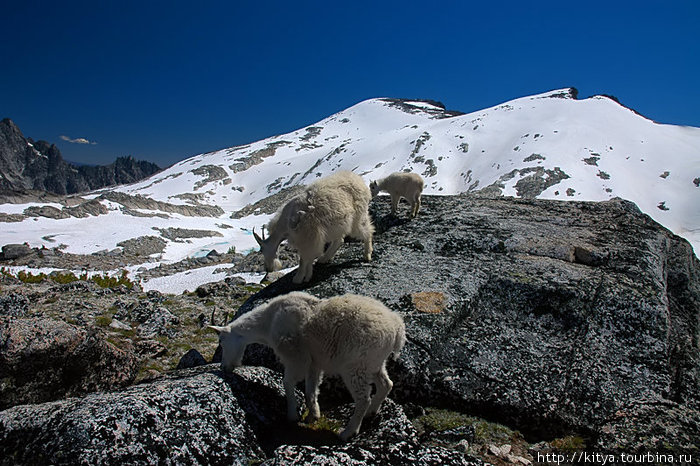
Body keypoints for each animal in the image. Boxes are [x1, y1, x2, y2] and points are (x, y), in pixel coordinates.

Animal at [209, 292, 404, 440]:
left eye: (222, 341)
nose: (224, 367)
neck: (268, 322)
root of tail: (397, 329)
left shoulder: (295, 356)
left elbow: (288, 382)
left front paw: (292, 415)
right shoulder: (314, 363)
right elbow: (311, 389)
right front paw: (313, 415)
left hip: (356, 365)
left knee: (363, 398)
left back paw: (348, 432)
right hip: (375, 363)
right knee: (386, 384)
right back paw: (372, 412)